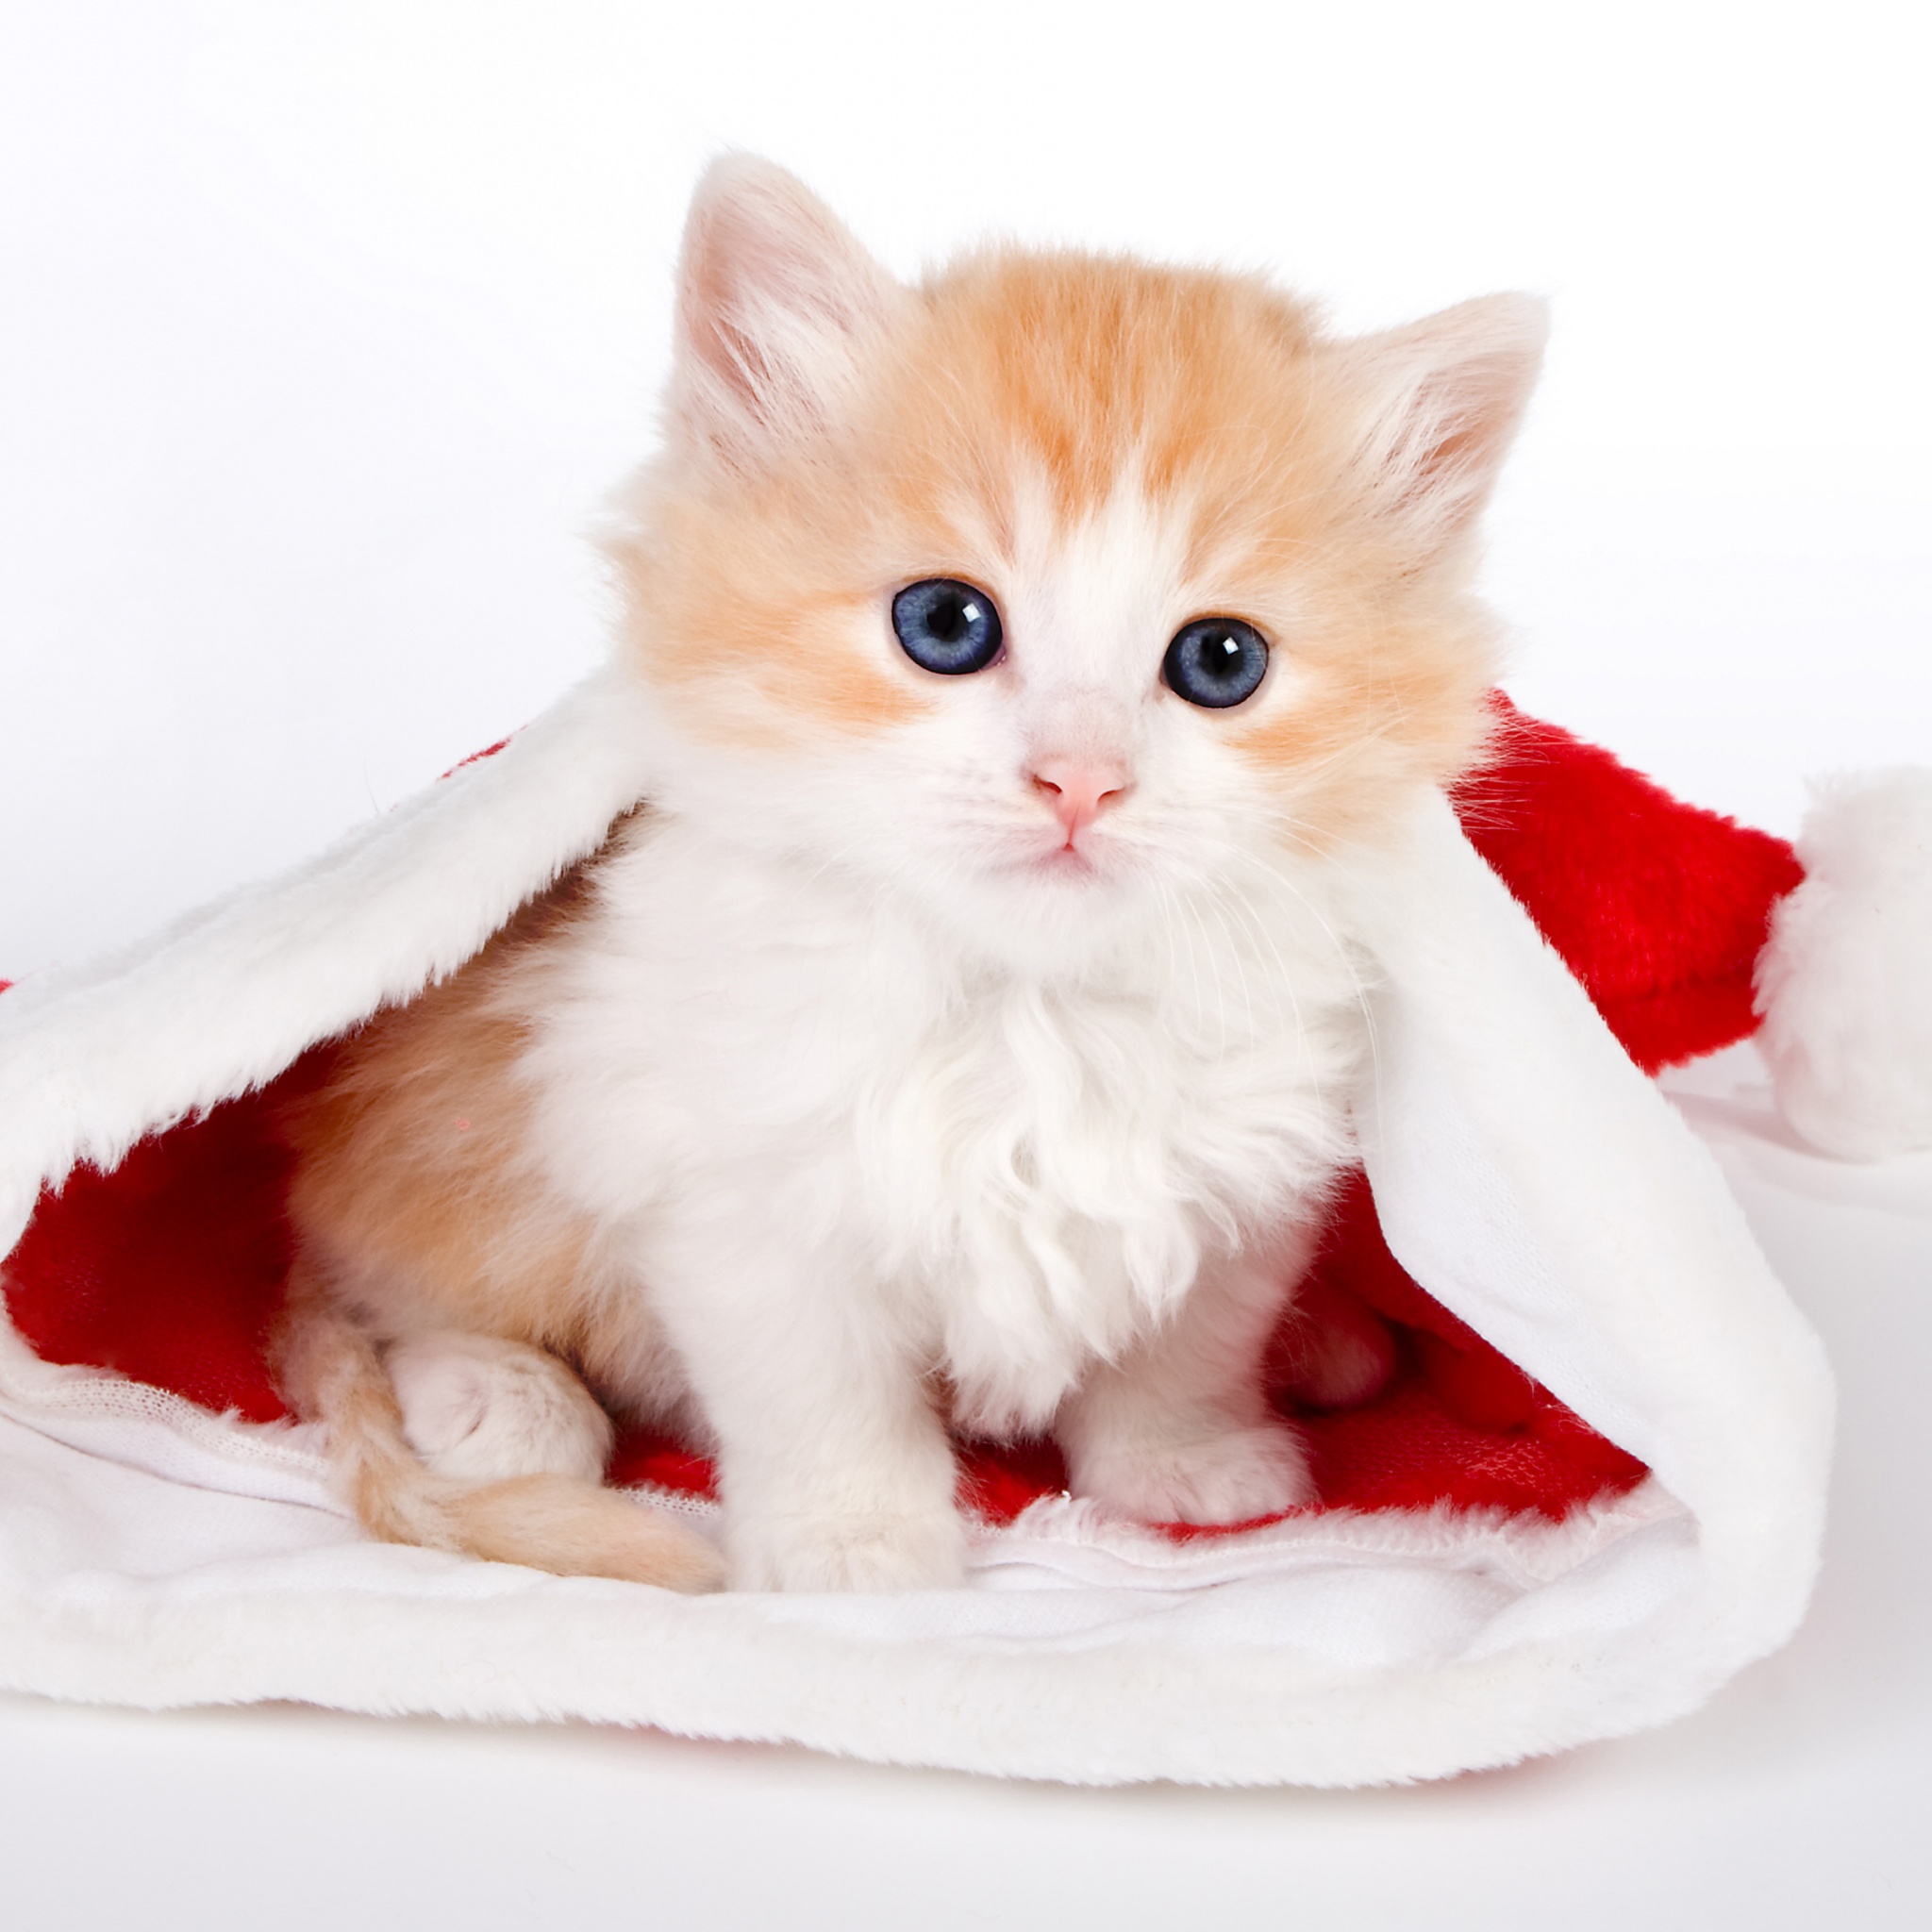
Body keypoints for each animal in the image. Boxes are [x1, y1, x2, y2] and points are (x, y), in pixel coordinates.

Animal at [275, 158, 1538, 1591]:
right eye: (944, 624)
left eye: (1221, 660)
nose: (1078, 780)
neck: (1032, 1013)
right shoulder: (722, 1173)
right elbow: (818, 1390)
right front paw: (854, 1542)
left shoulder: (1241, 1181)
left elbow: (1184, 1338)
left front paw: (1184, 1460)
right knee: (385, 1291)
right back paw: (497, 1397)